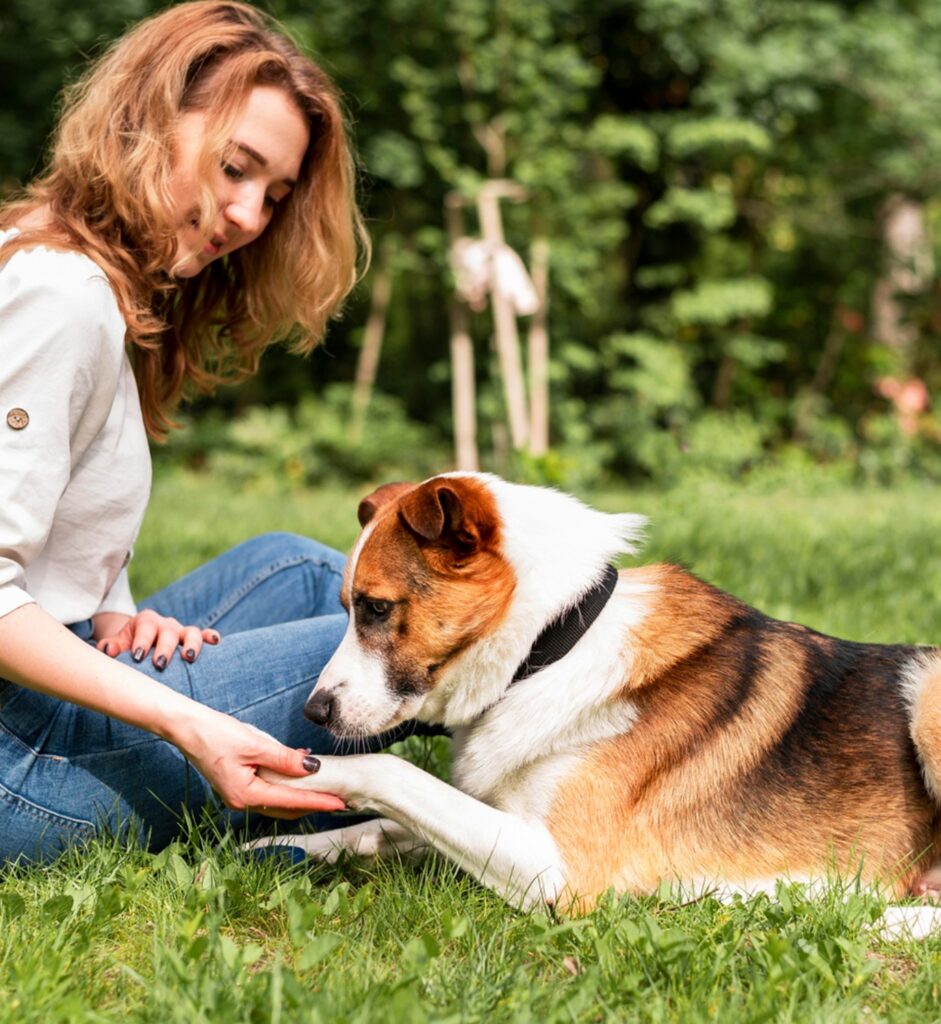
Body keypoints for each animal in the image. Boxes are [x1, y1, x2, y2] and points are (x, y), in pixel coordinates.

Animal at [253, 475, 941, 925]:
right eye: (345, 607)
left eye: (375, 608)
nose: (313, 712)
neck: (552, 647)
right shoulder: (507, 814)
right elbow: (386, 824)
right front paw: (277, 848)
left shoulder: (557, 869)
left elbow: (388, 773)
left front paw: (300, 771)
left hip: (928, 695)